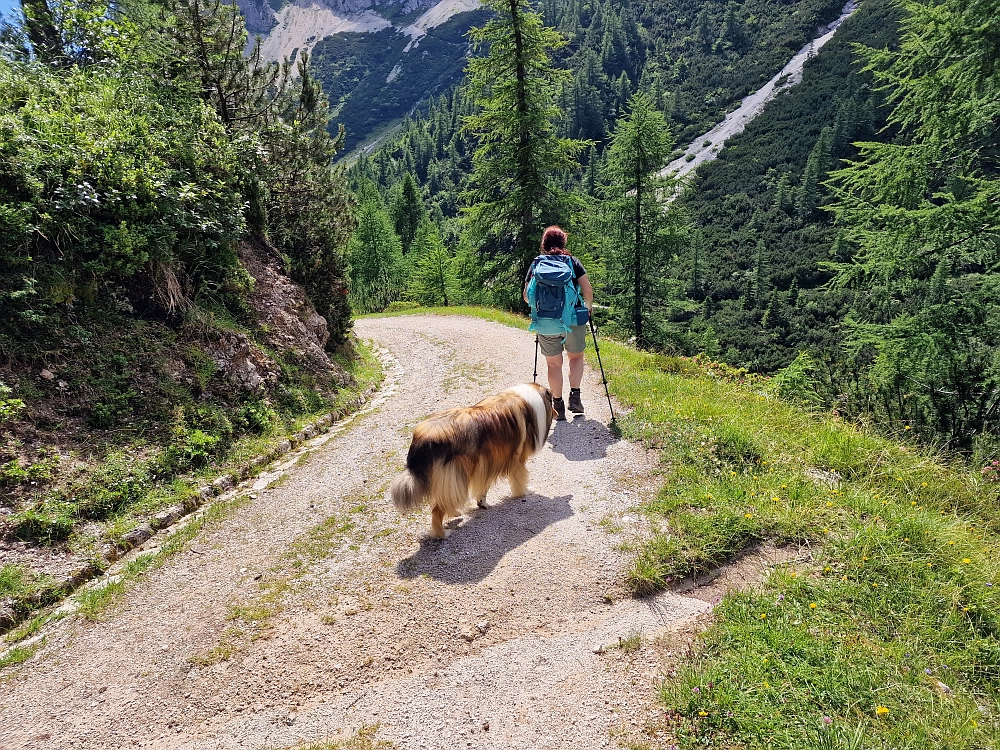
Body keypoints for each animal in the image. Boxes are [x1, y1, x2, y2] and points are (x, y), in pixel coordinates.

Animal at [388, 382, 556, 540]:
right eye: (553, 401)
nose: (557, 413)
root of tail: (422, 439)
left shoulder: (486, 462)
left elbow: (483, 487)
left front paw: (482, 503)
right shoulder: (517, 459)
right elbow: (520, 480)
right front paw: (525, 492)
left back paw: (454, 512)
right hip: (457, 476)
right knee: (436, 510)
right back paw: (442, 534)